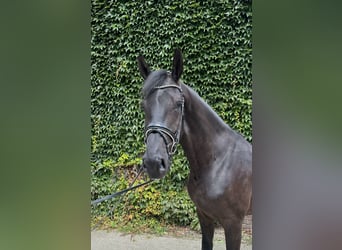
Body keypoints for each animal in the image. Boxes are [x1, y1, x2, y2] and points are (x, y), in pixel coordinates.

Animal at [136, 49, 251, 250]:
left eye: (178, 104)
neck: (218, 162)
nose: (153, 163)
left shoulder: (234, 224)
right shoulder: (204, 216)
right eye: (143, 106)